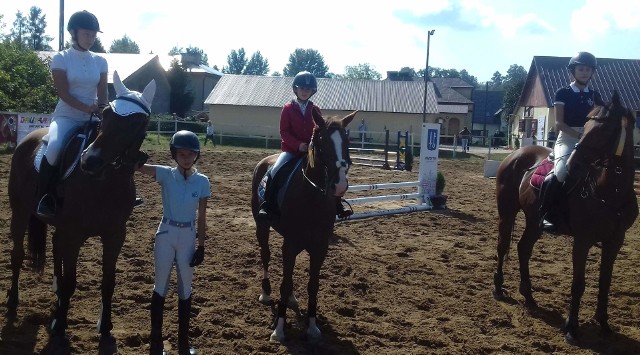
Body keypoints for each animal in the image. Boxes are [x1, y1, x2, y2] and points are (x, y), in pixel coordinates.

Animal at [6, 72, 155, 354]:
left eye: (137, 122)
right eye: (106, 114)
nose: (90, 161)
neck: (103, 181)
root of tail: (28, 139)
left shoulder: (115, 235)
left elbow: (108, 282)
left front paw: (105, 328)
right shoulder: (74, 234)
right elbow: (70, 280)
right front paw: (60, 328)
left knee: (55, 249)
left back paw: (55, 301)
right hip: (19, 211)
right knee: (17, 255)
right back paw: (12, 302)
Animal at [250, 109, 358, 344]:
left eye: (346, 142)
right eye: (322, 142)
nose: (340, 185)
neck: (312, 197)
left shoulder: (319, 248)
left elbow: (313, 285)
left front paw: (313, 327)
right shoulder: (290, 245)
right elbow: (284, 282)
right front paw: (279, 330)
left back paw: (291, 299)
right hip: (262, 226)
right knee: (265, 255)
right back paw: (266, 293)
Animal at [492, 91, 636, 344]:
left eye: (603, 129)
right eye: (585, 127)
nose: (573, 164)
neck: (611, 193)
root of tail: (515, 154)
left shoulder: (615, 241)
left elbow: (605, 282)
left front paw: (604, 324)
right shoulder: (583, 240)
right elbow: (578, 284)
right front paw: (571, 328)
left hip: (535, 221)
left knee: (523, 248)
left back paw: (529, 296)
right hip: (507, 213)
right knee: (503, 246)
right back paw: (499, 289)